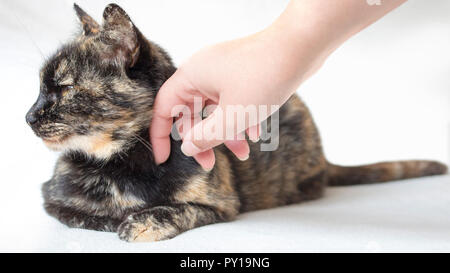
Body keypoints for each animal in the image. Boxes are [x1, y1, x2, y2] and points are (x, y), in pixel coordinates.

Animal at [26, 3, 448, 241]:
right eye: (40, 87)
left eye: (63, 88)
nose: (28, 116)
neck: (122, 162)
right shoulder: (52, 200)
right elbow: (83, 216)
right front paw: (118, 217)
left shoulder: (222, 205)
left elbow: (177, 209)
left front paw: (140, 222)